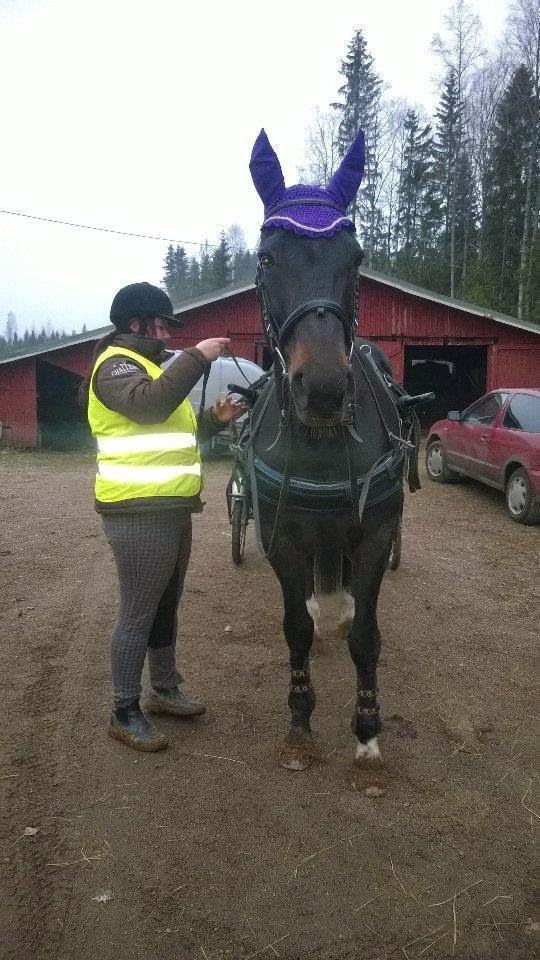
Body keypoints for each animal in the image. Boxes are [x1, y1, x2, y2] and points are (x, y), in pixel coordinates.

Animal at [247, 129, 416, 788]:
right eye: (268, 259)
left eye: (357, 256)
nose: (320, 391)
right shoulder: (280, 533)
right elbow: (294, 627)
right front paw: (299, 724)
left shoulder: (375, 531)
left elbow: (367, 637)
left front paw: (367, 734)